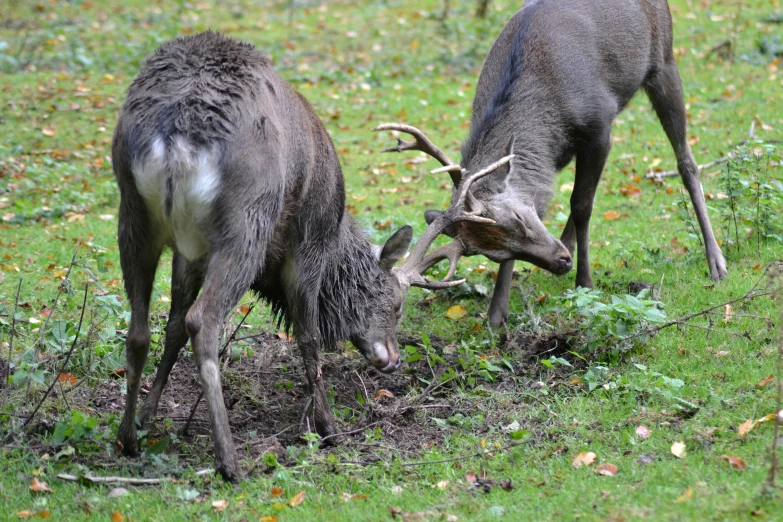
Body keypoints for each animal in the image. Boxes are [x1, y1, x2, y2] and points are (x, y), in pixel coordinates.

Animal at [110, 31, 506, 480]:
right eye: (398, 305)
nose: (393, 359)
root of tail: (177, 136)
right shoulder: (308, 244)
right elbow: (308, 336)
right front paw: (328, 428)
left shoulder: (189, 254)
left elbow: (173, 326)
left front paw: (147, 415)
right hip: (246, 222)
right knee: (204, 321)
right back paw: (229, 461)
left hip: (133, 214)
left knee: (140, 330)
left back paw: (127, 439)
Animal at [374, 0, 728, 328]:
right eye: (497, 253)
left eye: (518, 218)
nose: (561, 262)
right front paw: (497, 314)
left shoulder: (599, 125)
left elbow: (582, 204)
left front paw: (585, 283)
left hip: (664, 60)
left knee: (686, 161)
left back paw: (716, 261)